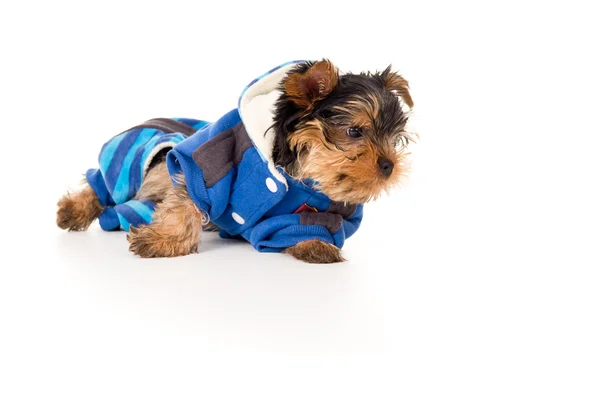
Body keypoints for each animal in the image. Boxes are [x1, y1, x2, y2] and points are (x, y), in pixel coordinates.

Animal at [56, 59, 414, 262]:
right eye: (355, 131)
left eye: (395, 138)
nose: (389, 165)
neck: (292, 171)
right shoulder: (207, 160)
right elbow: (188, 198)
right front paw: (164, 239)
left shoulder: (319, 210)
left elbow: (305, 225)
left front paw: (316, 246)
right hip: (138, 152)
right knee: (104, 181)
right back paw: (75, 209)